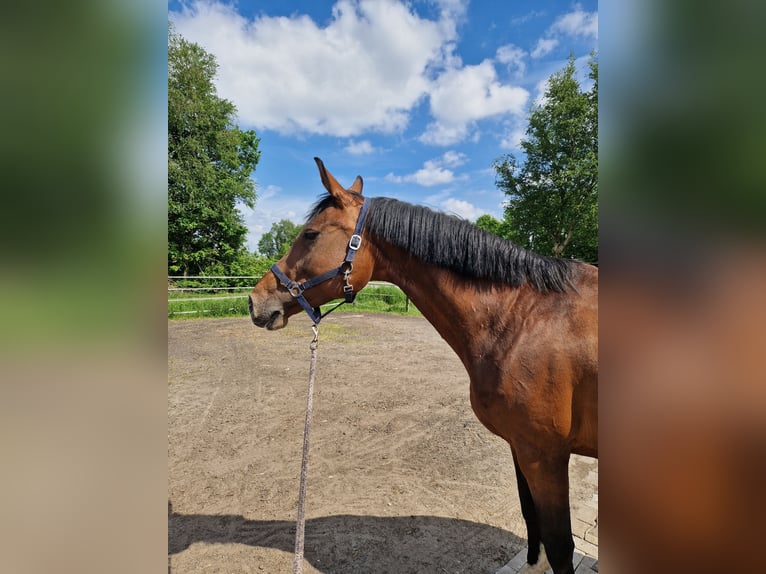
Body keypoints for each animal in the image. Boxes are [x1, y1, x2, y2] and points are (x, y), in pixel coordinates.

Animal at [248, 158, 598, 574]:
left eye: (311, 234)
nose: (255, 301)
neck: (522, 318)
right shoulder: (523, 447)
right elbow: (533, 522)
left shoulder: (545, 455)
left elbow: (560, 545)